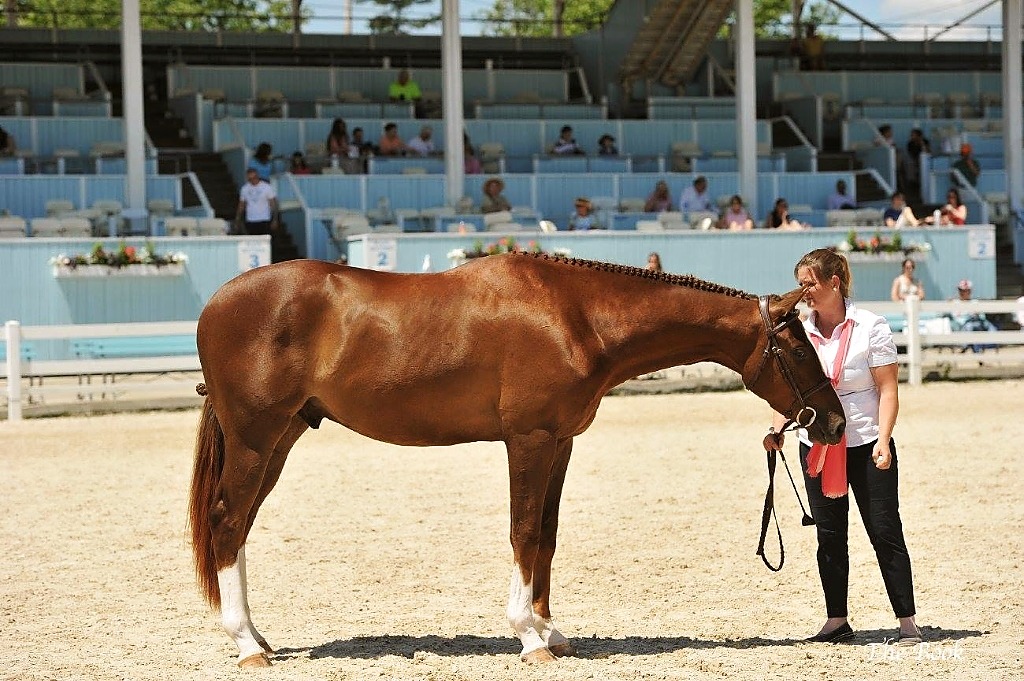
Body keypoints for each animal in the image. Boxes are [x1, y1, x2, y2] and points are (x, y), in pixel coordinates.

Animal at [188, 252, 845, 668]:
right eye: (798, 348)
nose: (835, 423)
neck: (575, 315)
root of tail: (216, 304)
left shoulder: (560, 442)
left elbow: (547, 536)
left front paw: (553, 630)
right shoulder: (528, 440)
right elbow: (523, 530)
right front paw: (528, 637)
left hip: (281, 437)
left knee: (237, 527)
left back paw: (259, 637)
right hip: (255, 439)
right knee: (227, 521)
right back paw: (246, 646)